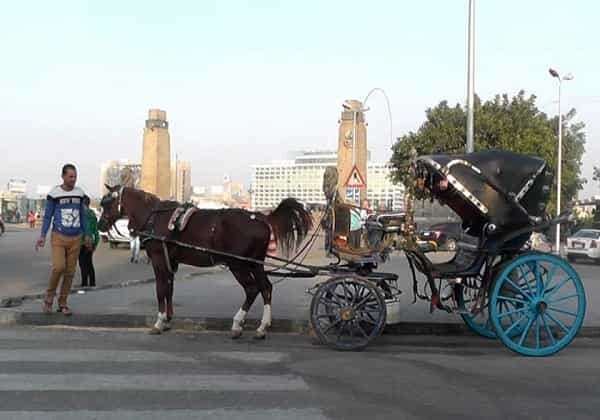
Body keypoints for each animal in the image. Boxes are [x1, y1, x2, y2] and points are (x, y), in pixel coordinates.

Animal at [97, 186, 314, 338]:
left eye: (107, 203)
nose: (100, 225)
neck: (153, 217)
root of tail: (260, 217)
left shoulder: (158, 260)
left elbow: (160, 289)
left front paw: (159, 322)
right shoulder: (170, 262)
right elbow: (169, 289)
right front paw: (168, 320)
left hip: (238, 264)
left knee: (252, 289)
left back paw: (237, 324)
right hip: (254, 263)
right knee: (266, 287)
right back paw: (262, 327)